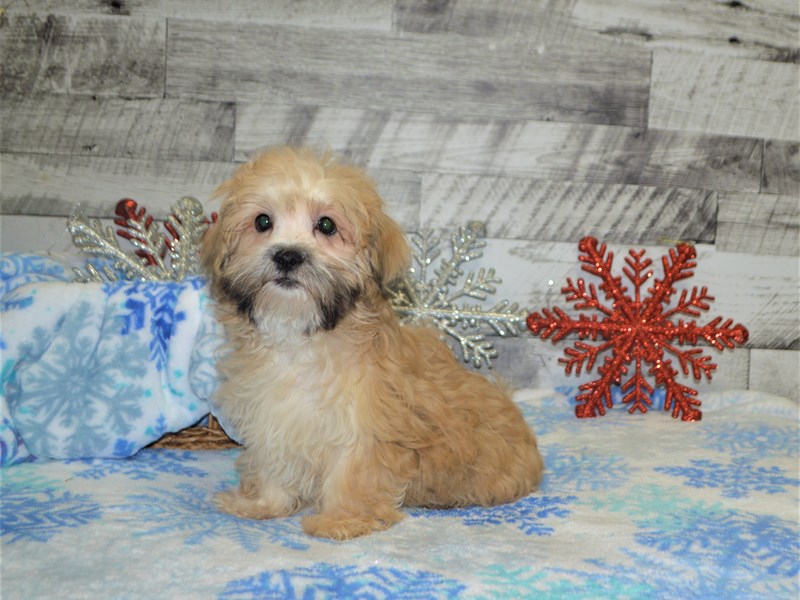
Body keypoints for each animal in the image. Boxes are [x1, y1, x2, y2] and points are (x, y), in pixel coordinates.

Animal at [203, 148, 548, 540]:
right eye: (262, 222)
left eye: (326, 225)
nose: (288, 255)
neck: (301, 337)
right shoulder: (272, 415)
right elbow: (273, 461)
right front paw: (262, 504)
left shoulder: (366, 425)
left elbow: (353, 474)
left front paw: (341, 520)